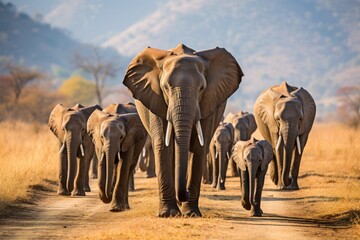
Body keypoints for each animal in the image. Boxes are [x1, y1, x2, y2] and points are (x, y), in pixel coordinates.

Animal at [122, 43, 243, 218]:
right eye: (165, 87)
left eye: (202, 88)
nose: (185, 193)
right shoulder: (155, 99)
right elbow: (163, 145)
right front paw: (168, 214)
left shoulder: (208, 103)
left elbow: (199, 147)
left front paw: (191, 213)